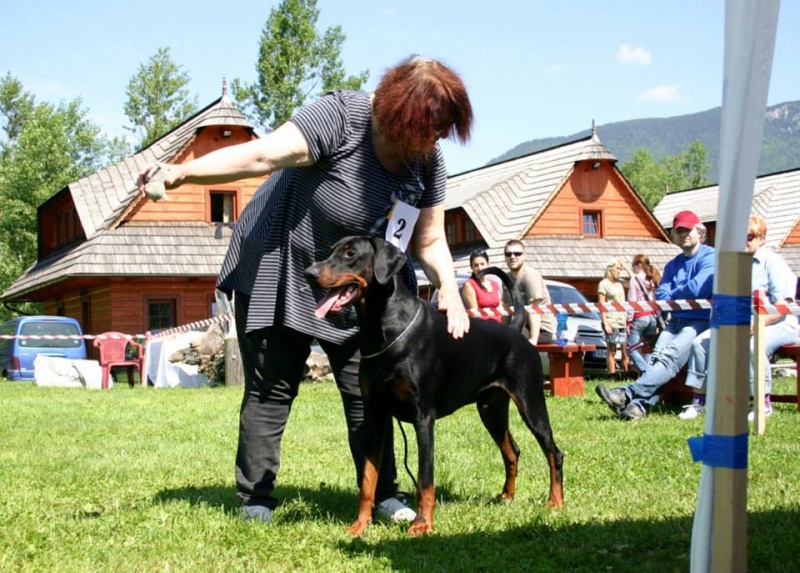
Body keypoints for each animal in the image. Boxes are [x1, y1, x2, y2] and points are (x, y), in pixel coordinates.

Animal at [304, 236, 564, 536]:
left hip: (530, 402)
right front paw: (359, 525)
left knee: (554, 452)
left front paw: (422, 524)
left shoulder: (423, 418)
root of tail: (516, 328)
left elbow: (424, 478)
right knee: (512, 451)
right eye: (331, 250)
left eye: (350, 254)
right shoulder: (375, 416)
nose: (309, 273)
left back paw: (555, 502)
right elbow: (368, 477)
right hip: (491, 409)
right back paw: (507, 496)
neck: (384, 330)